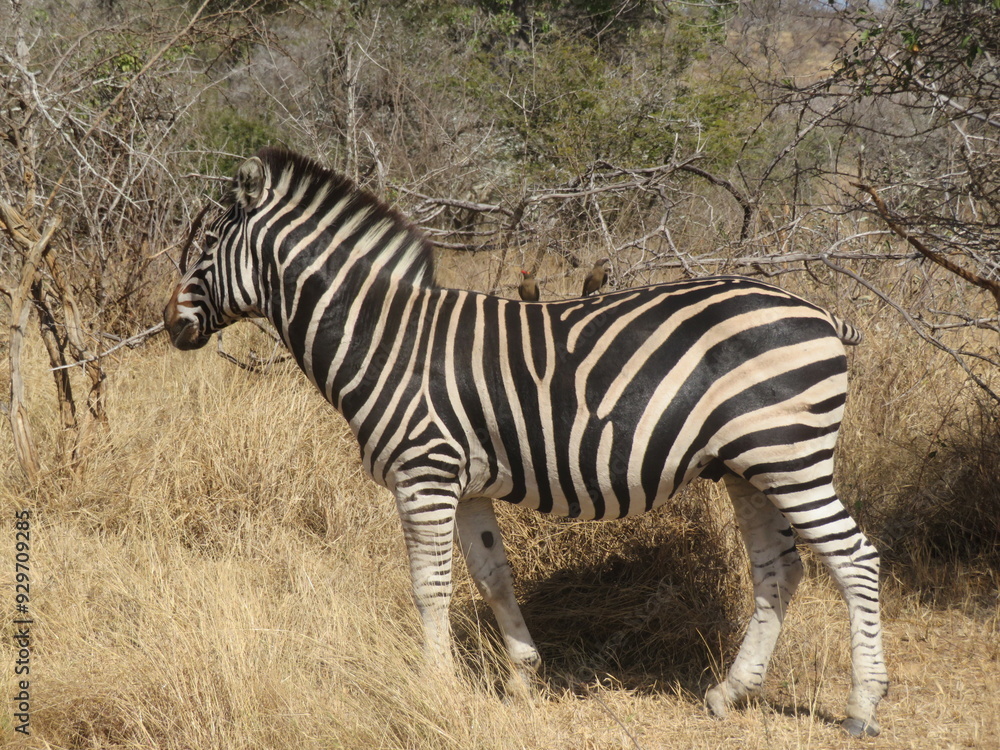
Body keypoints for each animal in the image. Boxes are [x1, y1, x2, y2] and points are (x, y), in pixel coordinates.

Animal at [163, 147, 888, 737]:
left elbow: (429, 584)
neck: (386, 337)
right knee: (779, 569)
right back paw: (728, 694)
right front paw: (521, 674)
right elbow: (491, 576)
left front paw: (436, 687)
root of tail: (821, 312)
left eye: (206, 247)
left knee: (855, 558)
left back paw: (862, 707)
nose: (168, 324)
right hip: (749, 468)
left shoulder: (424, 473)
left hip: (790, 456)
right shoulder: (467, 484)